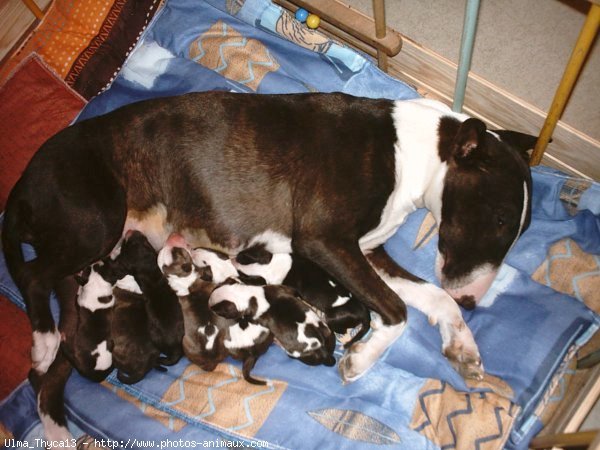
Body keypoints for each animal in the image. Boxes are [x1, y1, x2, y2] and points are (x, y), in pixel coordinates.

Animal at [234, 246, 370, 344]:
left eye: (242, 256)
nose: (233, 257)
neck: (269, 264)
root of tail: (364, 313)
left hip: (333, 317)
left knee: (341, 329)